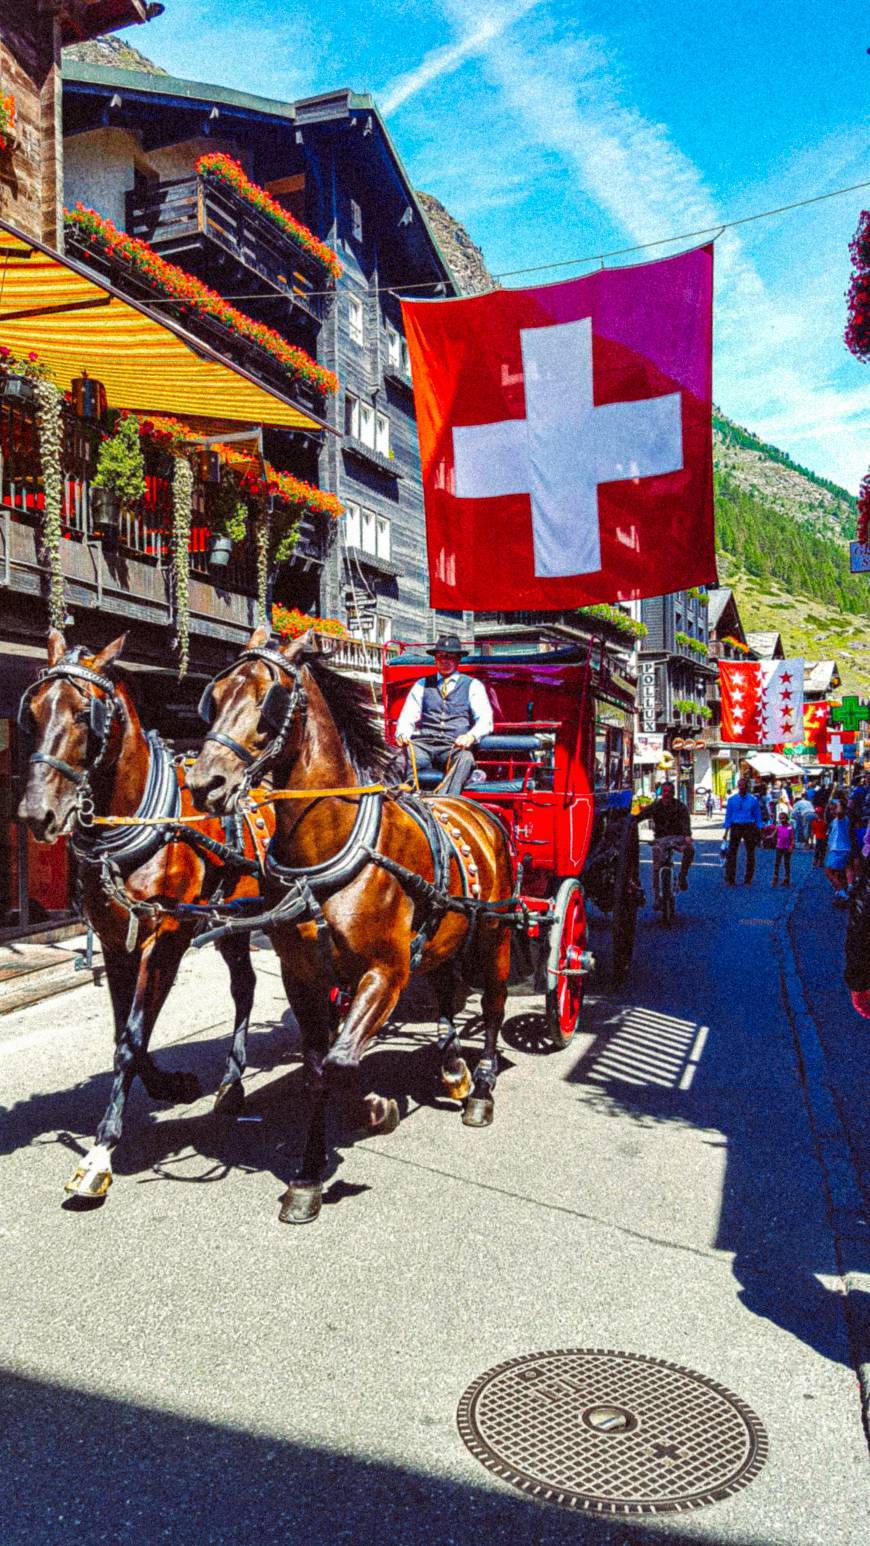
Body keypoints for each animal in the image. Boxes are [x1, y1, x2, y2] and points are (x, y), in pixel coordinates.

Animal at [17, 624, 275, 1193]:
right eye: (35, 712)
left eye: (84, 714)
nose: (36, 814)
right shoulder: (117, 938)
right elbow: (125, 1029)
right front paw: (163, 1083)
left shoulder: (169, 934)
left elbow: (135, 1030)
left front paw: (102, 1148)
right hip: (234, 921)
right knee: (245, 987)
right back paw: (232, 1082)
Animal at [186, 624, 513, 1218]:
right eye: (214, 697)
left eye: (268, 700)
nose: (204, 785)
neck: (331, 849)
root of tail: (473, 807)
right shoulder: (303, 977)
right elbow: (320, 1068)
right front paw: (309, 1176)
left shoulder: (385, 971)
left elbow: (341, 1062)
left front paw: (374, 1109)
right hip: (443, 937)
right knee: (448, 995)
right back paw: (453, 1068)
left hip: (495, 932)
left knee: (494, 1005)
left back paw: (480, 1088)